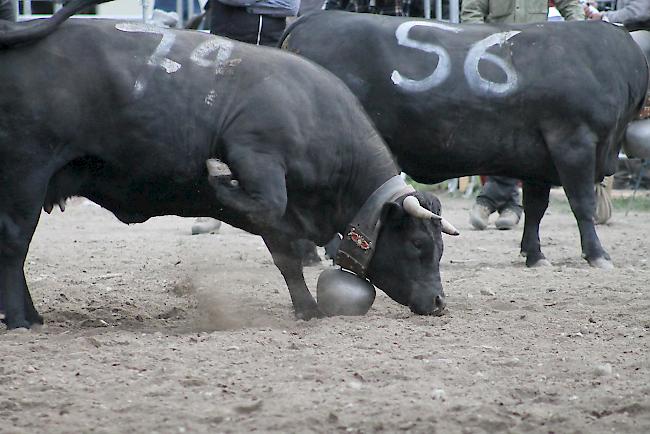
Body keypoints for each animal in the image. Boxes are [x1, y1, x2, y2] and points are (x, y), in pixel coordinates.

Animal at [0, 0, 458, 328]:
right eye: (419, 245)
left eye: (439, 249)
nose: (439, 302)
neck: (312, 110)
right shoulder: (257, 155)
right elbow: (266, 203)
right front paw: (216, 178)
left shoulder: (283, 219)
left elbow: (285, 255)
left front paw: (307, 308)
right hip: (25, 174)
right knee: (14, 243)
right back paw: (22, 319)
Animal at [282, 10, 648, 268]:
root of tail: (313, 19)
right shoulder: (573, 142)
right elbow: (582, 203)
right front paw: (597, 254)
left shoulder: (540, 157)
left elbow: (536, 207)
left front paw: (534, 254)